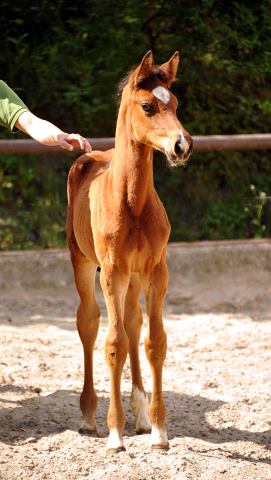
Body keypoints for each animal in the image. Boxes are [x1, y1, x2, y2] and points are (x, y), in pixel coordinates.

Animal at [67, 52, 193, 454]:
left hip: (135, 277)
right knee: (89, 322)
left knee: (134, 321)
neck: (133, 203)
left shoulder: (156, 269)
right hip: (82, 263)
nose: (182, 146)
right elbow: (114, 343)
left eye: (175, 103)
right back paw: (89, 416)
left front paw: (159, 431)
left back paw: (140, 414)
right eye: (147, 106)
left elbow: (154, 341)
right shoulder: (111, 270)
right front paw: (115, 434)